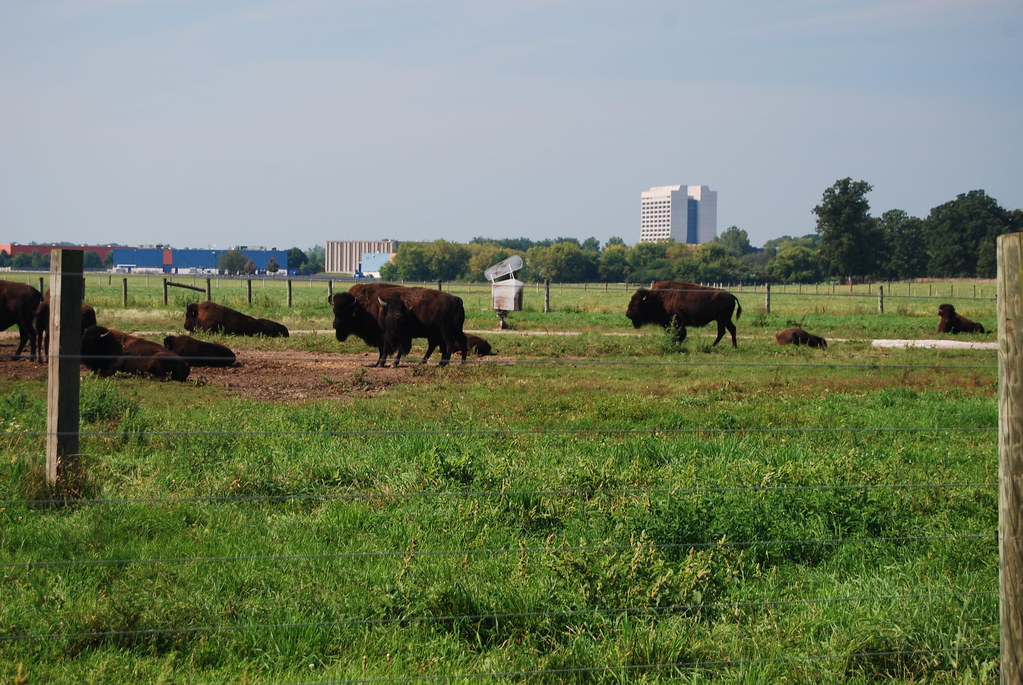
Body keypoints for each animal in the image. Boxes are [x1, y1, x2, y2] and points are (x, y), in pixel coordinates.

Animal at [329, 283, 468, 367]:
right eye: (334, 310)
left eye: (347, 312)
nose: (335, 325)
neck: (362, 306)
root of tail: (456, 299)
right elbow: (383, 349)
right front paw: (378, 363)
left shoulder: (383, 335)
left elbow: (384, 348)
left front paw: (382, 363)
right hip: (451, 329)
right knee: (457, 341)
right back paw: (459, 362)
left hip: (444, 329)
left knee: (449, 342)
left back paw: (442, 363)